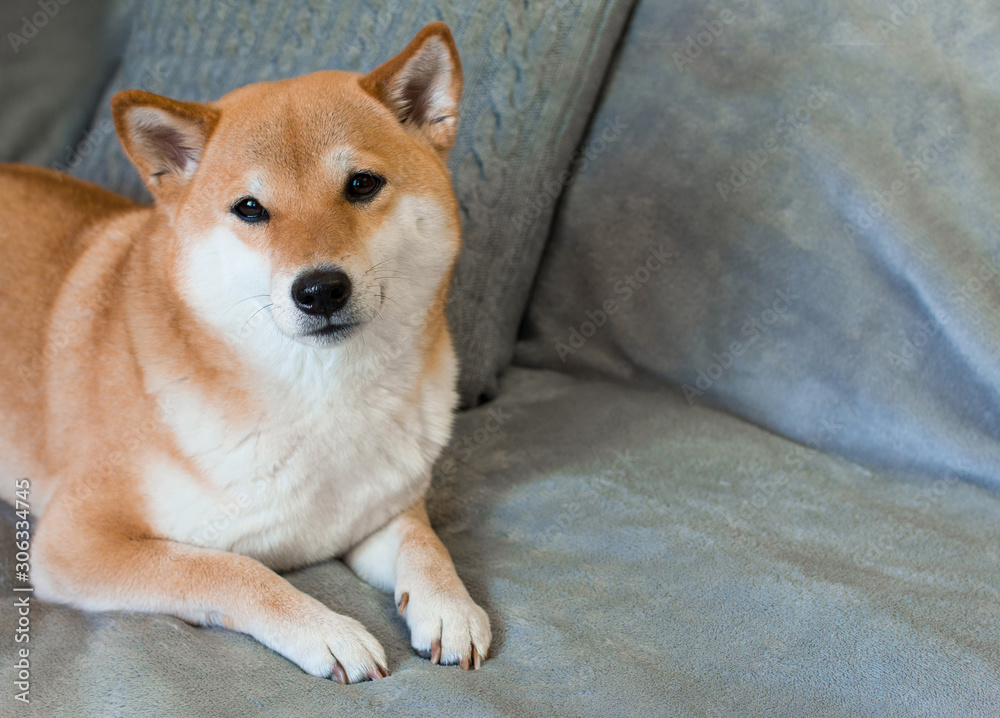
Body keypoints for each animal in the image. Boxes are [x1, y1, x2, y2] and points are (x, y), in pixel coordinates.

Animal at [0, 23, 488, 688]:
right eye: (249, 208)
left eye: (362, 183)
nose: (320, 290)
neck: (322, 399)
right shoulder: (76, 540)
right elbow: (229, 568)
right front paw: (325, 629)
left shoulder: (384, 508)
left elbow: (425, 544)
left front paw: (448, 605)